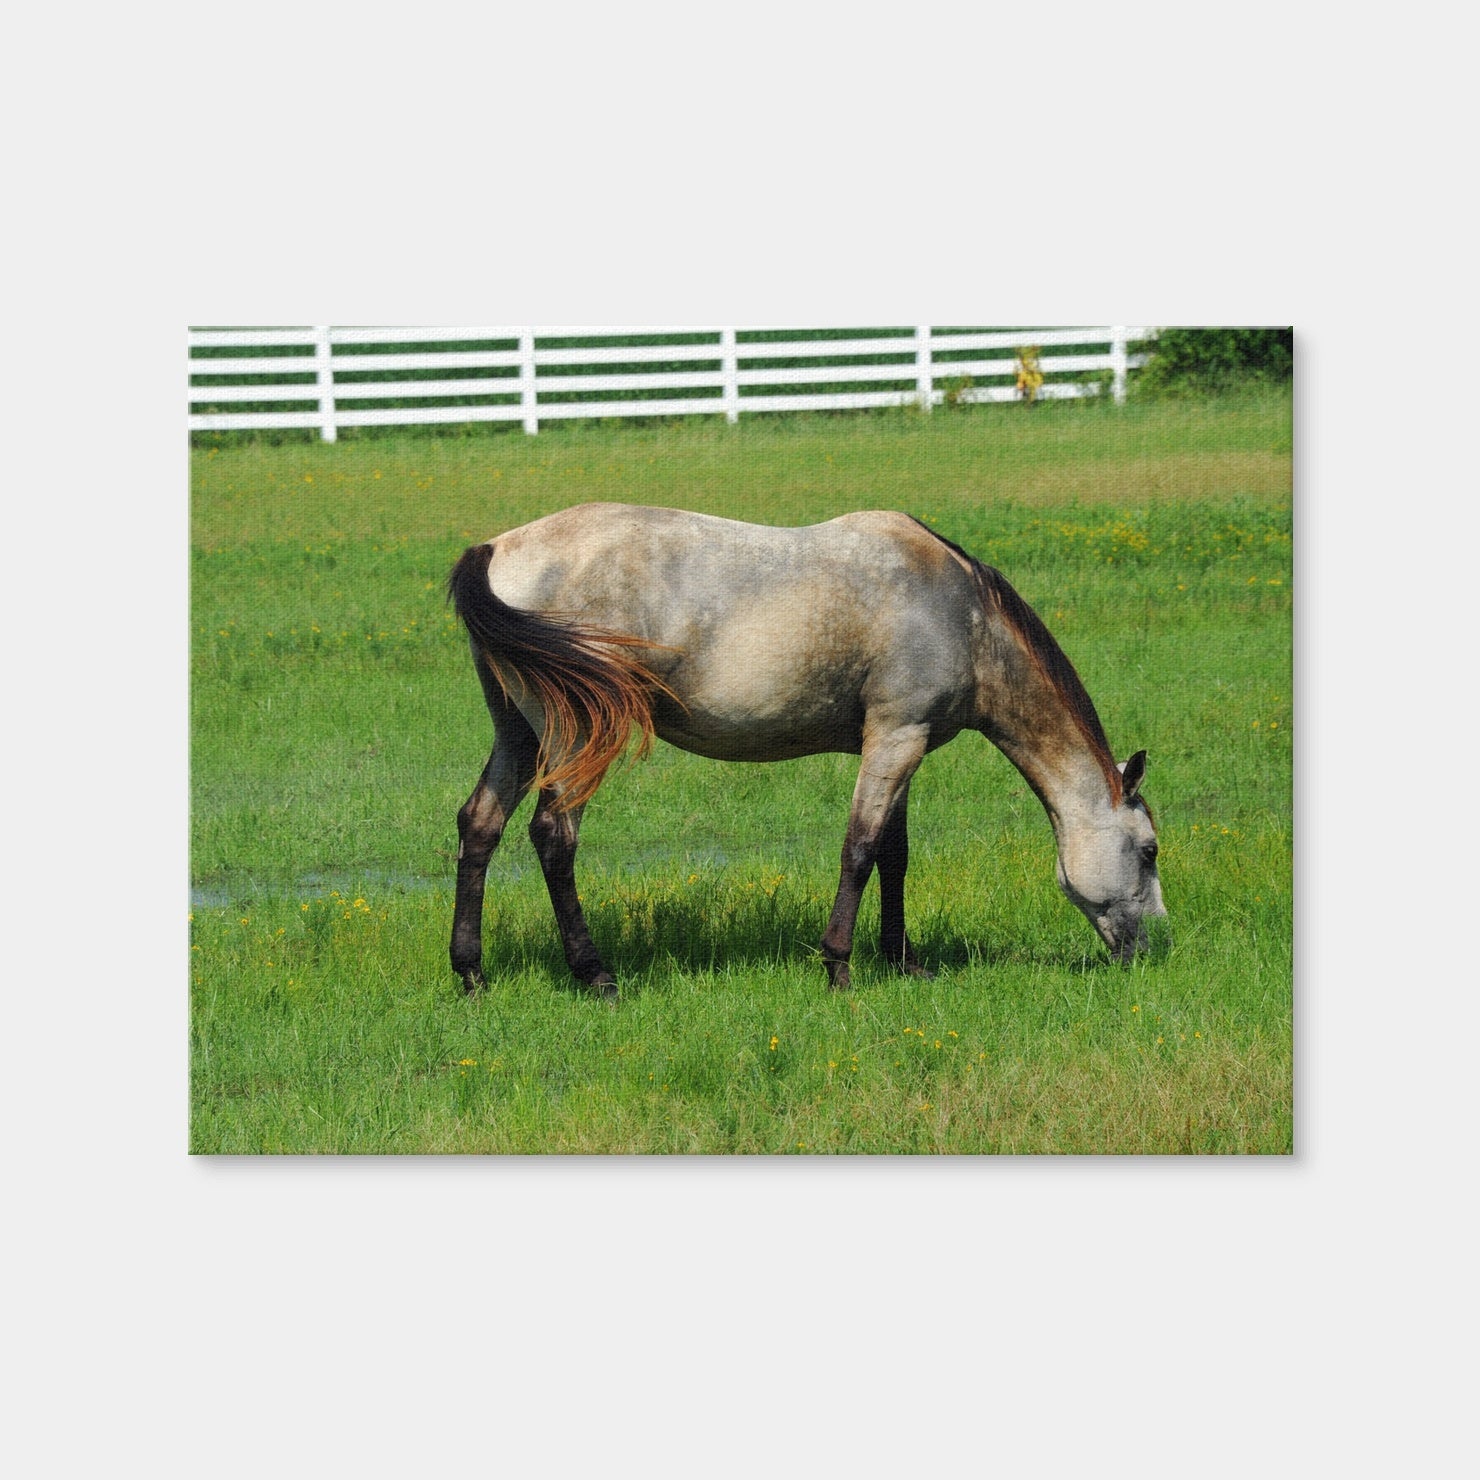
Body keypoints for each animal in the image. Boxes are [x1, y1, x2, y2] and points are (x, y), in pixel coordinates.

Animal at [447, 503, 1166, 998]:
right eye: (1150, 851)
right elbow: (860, 849)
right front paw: (839, 966)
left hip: (518, 734)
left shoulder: (899, 744)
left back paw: (471, 973)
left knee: (480, 825)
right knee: (553, 836)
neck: (964, 615)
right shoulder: (897, 738)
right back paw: (594, 974)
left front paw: (903, 961)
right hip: (574, 739)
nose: (1153, 946)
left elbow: (894, 856)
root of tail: (496, 548)